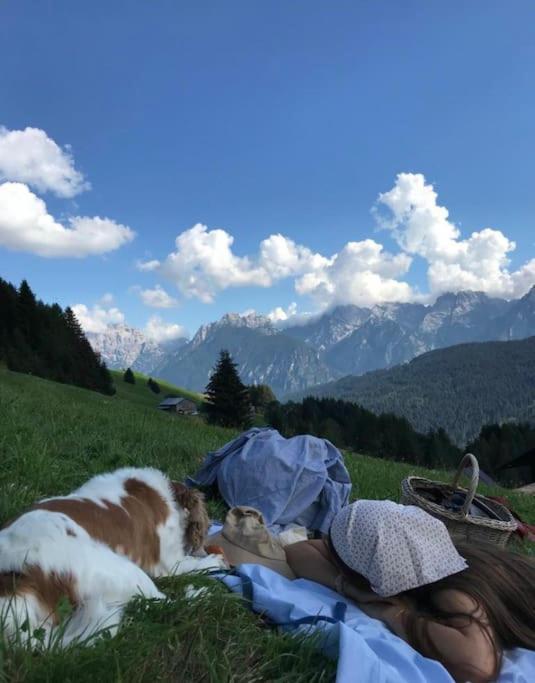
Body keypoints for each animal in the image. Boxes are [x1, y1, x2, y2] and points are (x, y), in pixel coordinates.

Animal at [0, 468, 226, 648]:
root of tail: (16, 579)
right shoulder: (170, 565)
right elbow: (196, 564)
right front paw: (215, 559)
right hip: (123, 570)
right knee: (165, 601)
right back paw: (202, 594)